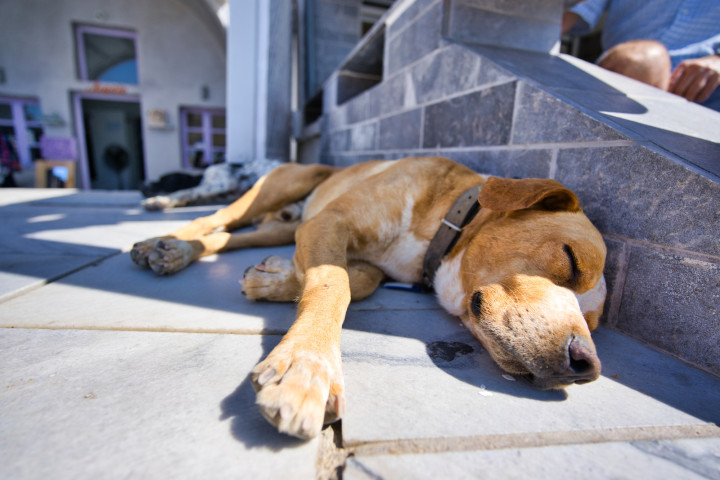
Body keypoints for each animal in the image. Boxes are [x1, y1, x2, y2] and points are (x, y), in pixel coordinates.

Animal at [131, 157, 608, 438]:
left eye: (595, 323)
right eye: (571, 260)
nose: (586, 366)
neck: (446, 220)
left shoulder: (345, 246)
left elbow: (354, 281)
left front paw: (277, 279)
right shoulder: (330, 222)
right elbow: (333, 283)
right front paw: (307, 368)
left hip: (286, 225)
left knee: (230, 238)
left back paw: (178, 251)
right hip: (276, 188)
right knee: (215, 219)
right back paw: (164, 242)